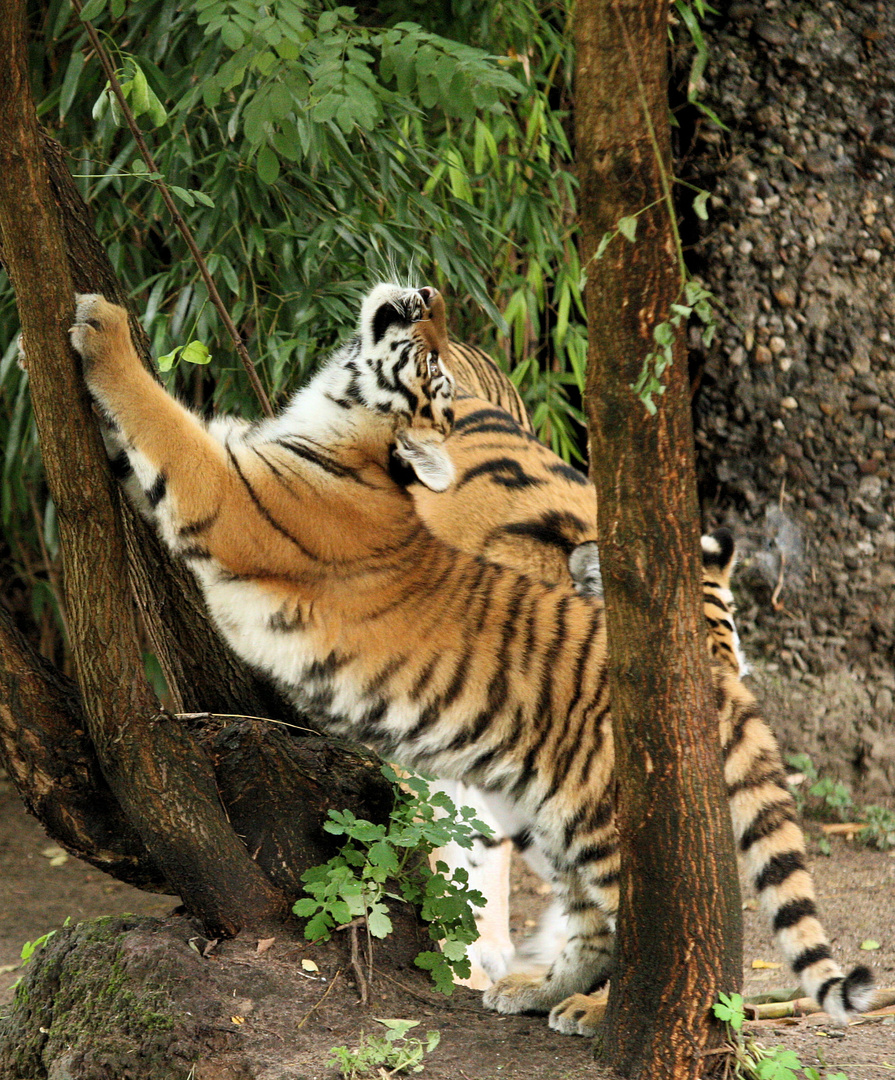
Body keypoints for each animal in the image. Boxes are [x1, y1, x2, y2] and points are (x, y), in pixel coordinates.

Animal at [73, 282, 876, 1032]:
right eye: (429, 361)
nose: (431, 297)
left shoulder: (227, 492)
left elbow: (158, 416)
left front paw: (100, 325)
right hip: (558, 813)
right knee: (588, 914)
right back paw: (536, 991)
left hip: (597, 816)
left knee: (640, 922)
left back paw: (594, 1009)